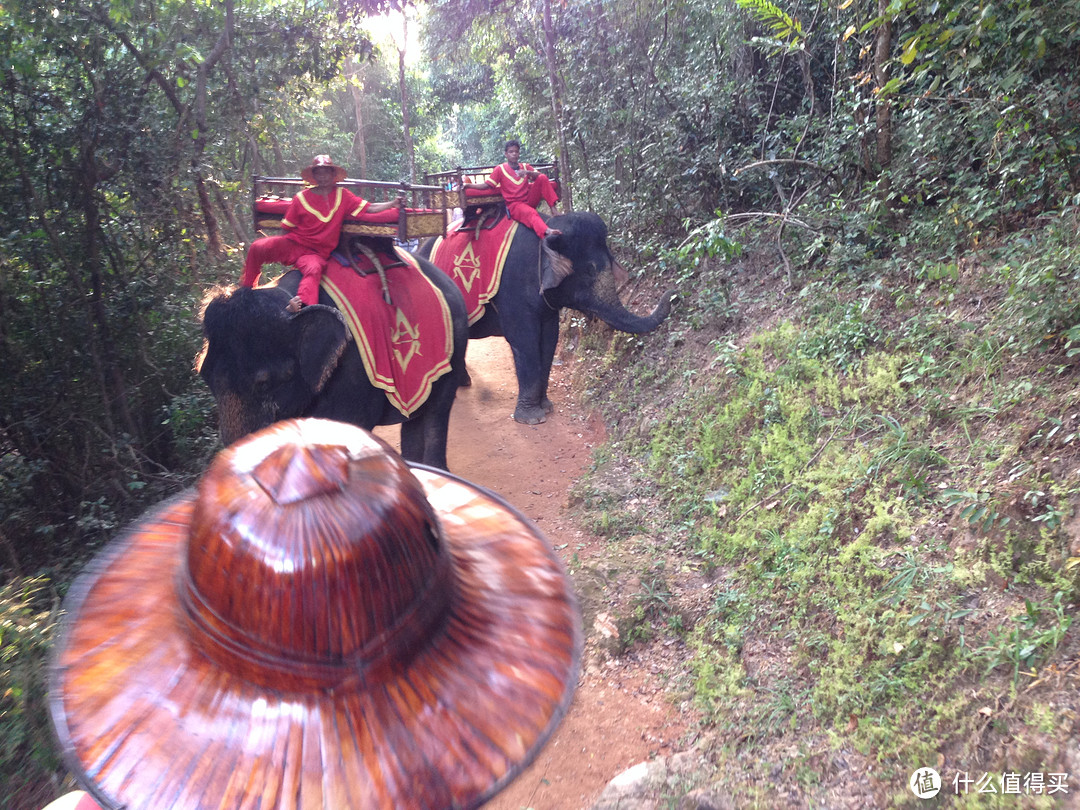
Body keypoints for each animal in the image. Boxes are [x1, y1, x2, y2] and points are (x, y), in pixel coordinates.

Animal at [421, 209, 673, 425]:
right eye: (590, 271)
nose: (673, 293)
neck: (550, 229)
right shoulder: (512, 288)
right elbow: (525, 341)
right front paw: (532, 419)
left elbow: (550, 339)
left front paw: (546, 407)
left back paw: (462, 383)